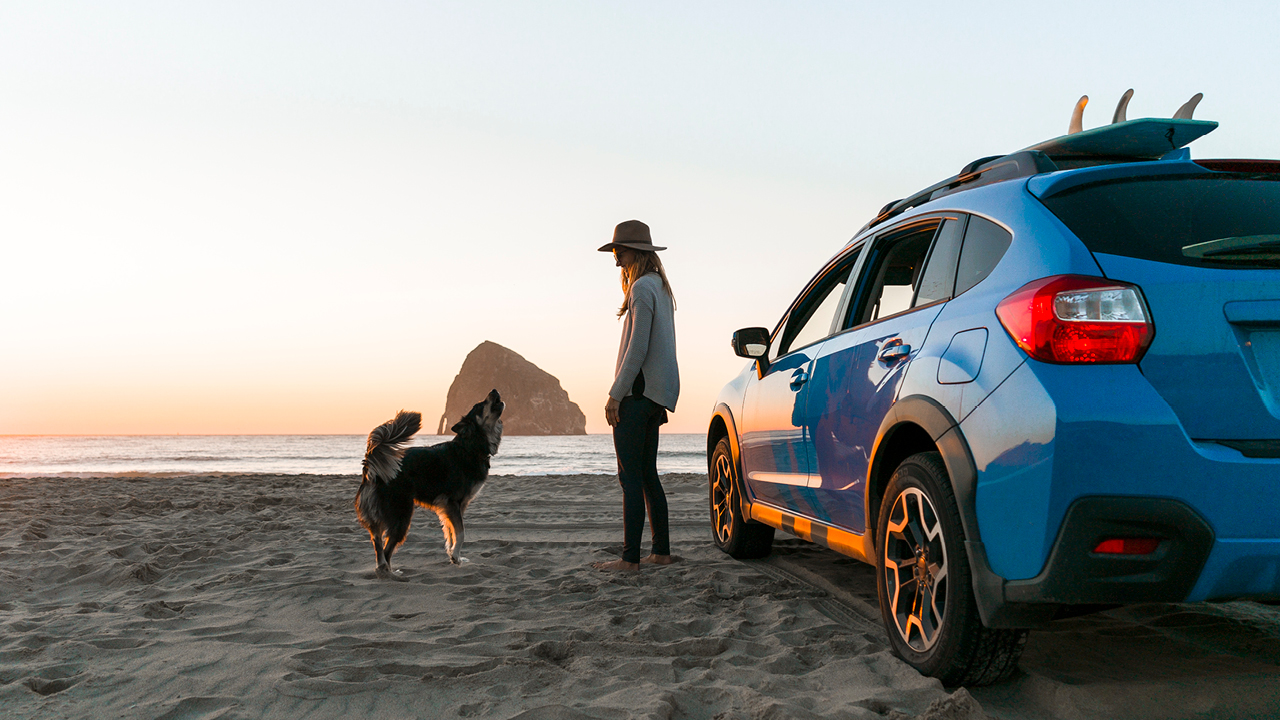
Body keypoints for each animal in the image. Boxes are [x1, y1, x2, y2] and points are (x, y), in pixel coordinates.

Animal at [358, 389, 506, 573]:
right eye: (479, 405)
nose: (494, 390)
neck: (469, 447)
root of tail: (372, 468)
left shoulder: (455, 507)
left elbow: (451, 532)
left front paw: (454, 556)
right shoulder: (452, 502)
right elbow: (461, 533)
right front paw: (455, 556)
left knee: (378, 542)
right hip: (401, 513)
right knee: (386, 549)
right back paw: (390, 572)